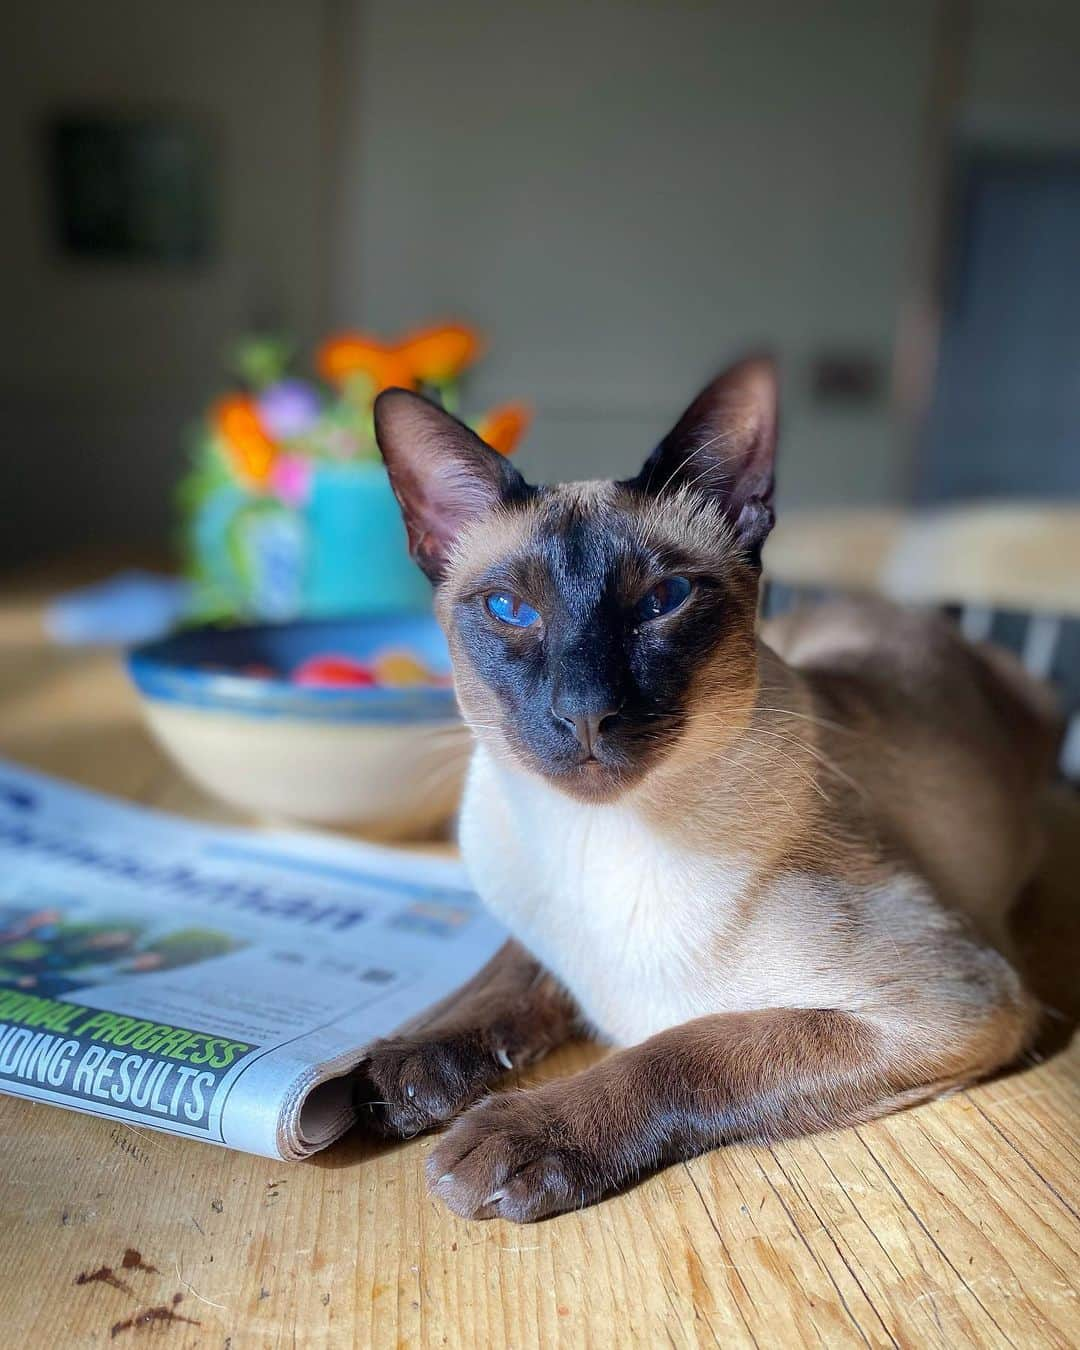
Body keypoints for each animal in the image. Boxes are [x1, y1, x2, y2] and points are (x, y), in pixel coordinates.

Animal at [361, 359, 1053, 1225]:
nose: (584, 711)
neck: (599, 841)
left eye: (663, 601)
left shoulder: (945, 1005)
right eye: (510, 610)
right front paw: (401, 1070)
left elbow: (683, 1051)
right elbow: (505, 979)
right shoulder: (540, 944)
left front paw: (514, 1137)